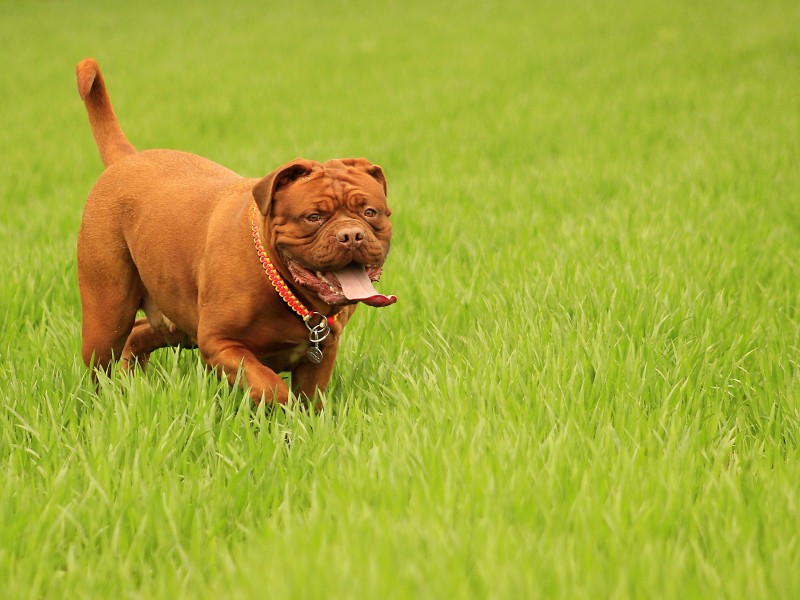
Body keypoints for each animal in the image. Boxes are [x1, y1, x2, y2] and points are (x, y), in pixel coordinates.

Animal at [76, 59, 396, 408]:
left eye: (370, 212)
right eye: (313, 217)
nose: (351, 235)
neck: (286, 287)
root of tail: (127, 158)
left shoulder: (322, 352)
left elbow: (310, 400)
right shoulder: (220, 343)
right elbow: (270, 386)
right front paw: (283, 411)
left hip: (176, 319)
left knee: (139, 334)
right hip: (107, 316)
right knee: (102, 360)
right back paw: (99, 402)